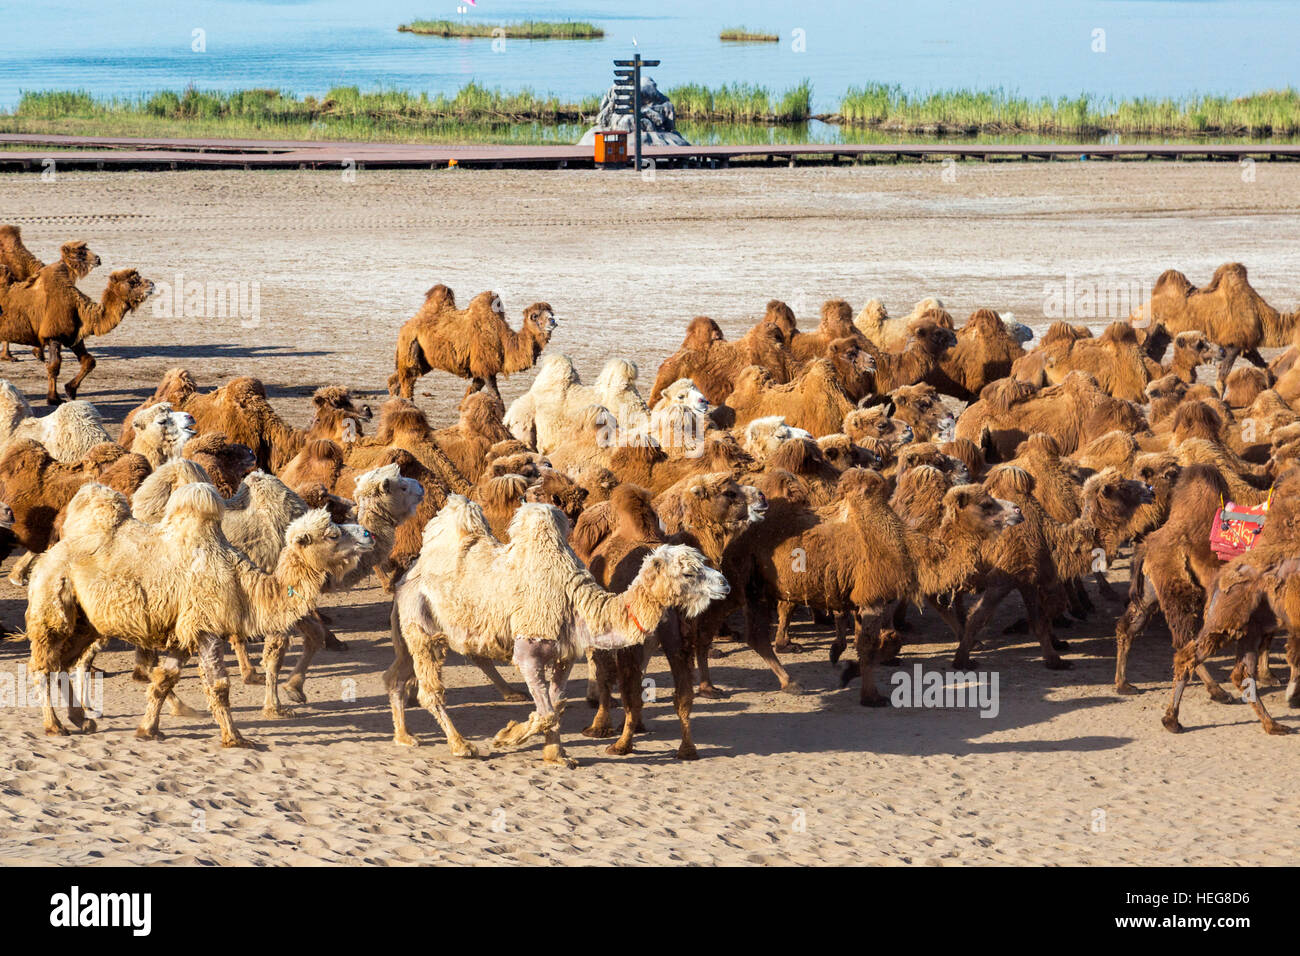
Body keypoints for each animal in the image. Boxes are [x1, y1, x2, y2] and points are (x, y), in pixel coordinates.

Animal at [384, 286, 559, 403]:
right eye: (535, 315)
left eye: (552, 313)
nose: (553, 321)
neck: (503, 339)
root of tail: (406, 325)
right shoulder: (485, 367)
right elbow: (497, 398)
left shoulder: (481, 371)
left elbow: (470, 394)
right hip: (411, 347)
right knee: (408, 379)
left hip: (424, 360)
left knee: (396, 379)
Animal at [384, 496, 733, 764]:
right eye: (688, 572)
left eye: (703, 563)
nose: (725, 584)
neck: (574, 599)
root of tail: (408, 576)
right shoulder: (527, 651)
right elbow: (548, 711)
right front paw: (507, 737)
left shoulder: (565, 654)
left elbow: (555, 706)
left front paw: (555, 754)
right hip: (421, 625)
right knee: (429, 691)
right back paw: (461, 745)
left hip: (418, 631)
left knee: (397, 676)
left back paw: (404, 736)